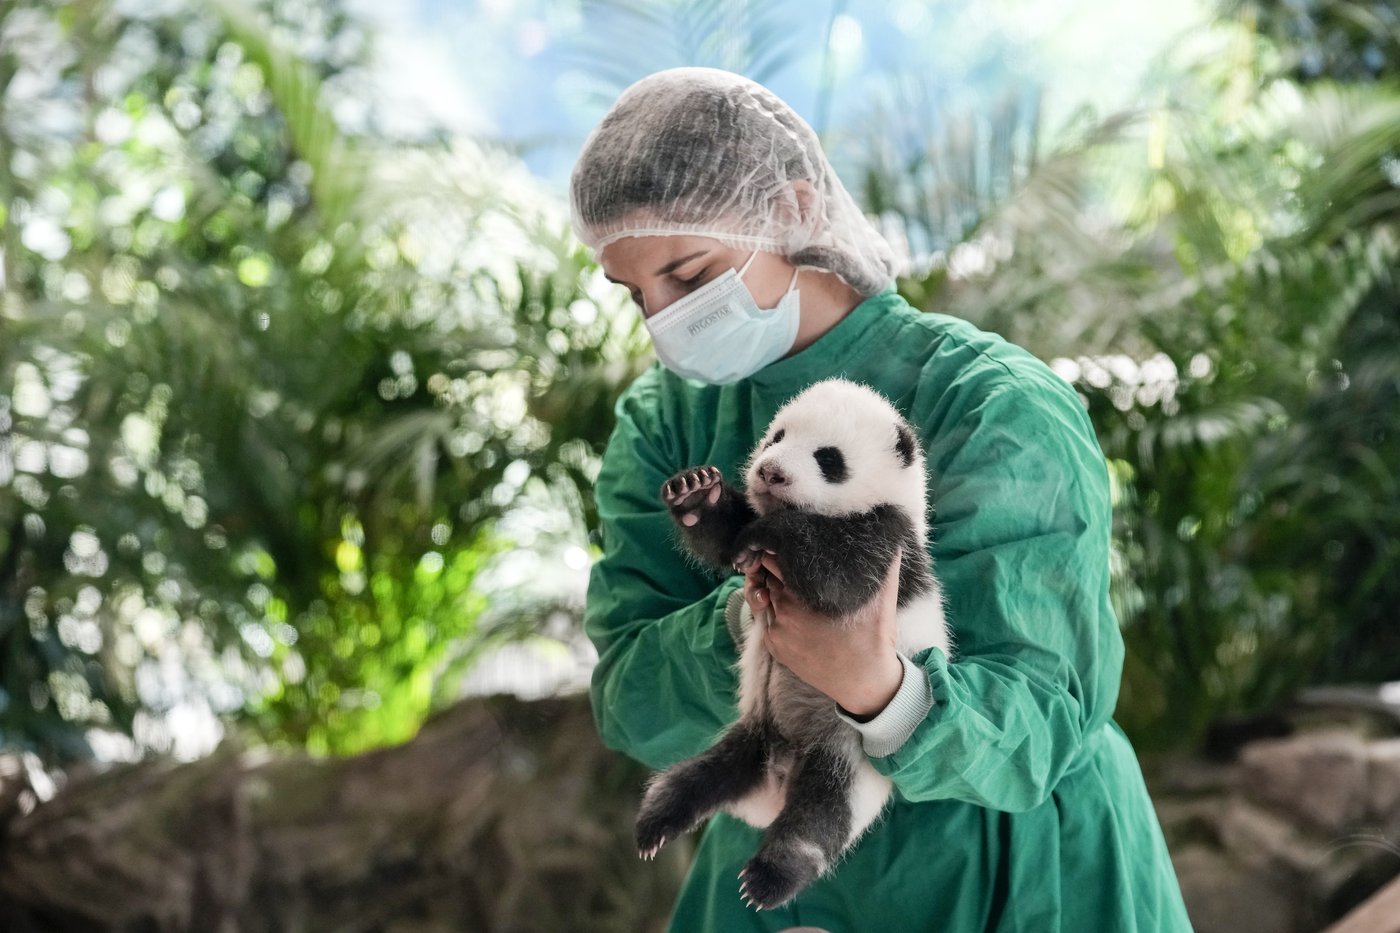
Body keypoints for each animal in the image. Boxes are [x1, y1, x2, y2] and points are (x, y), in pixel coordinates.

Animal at [634, 378, 951, 911]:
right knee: (694, 779)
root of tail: (776, 778)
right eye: (777, 436)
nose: (771, 472)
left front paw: (775, 532)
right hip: (749, 735)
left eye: (828, 458)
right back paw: (655, 823)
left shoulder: (891, 543)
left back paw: (769, 878)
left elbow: (839, 578)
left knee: (819, 820)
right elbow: (728, 539)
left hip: (847, 758)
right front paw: (697, 495)